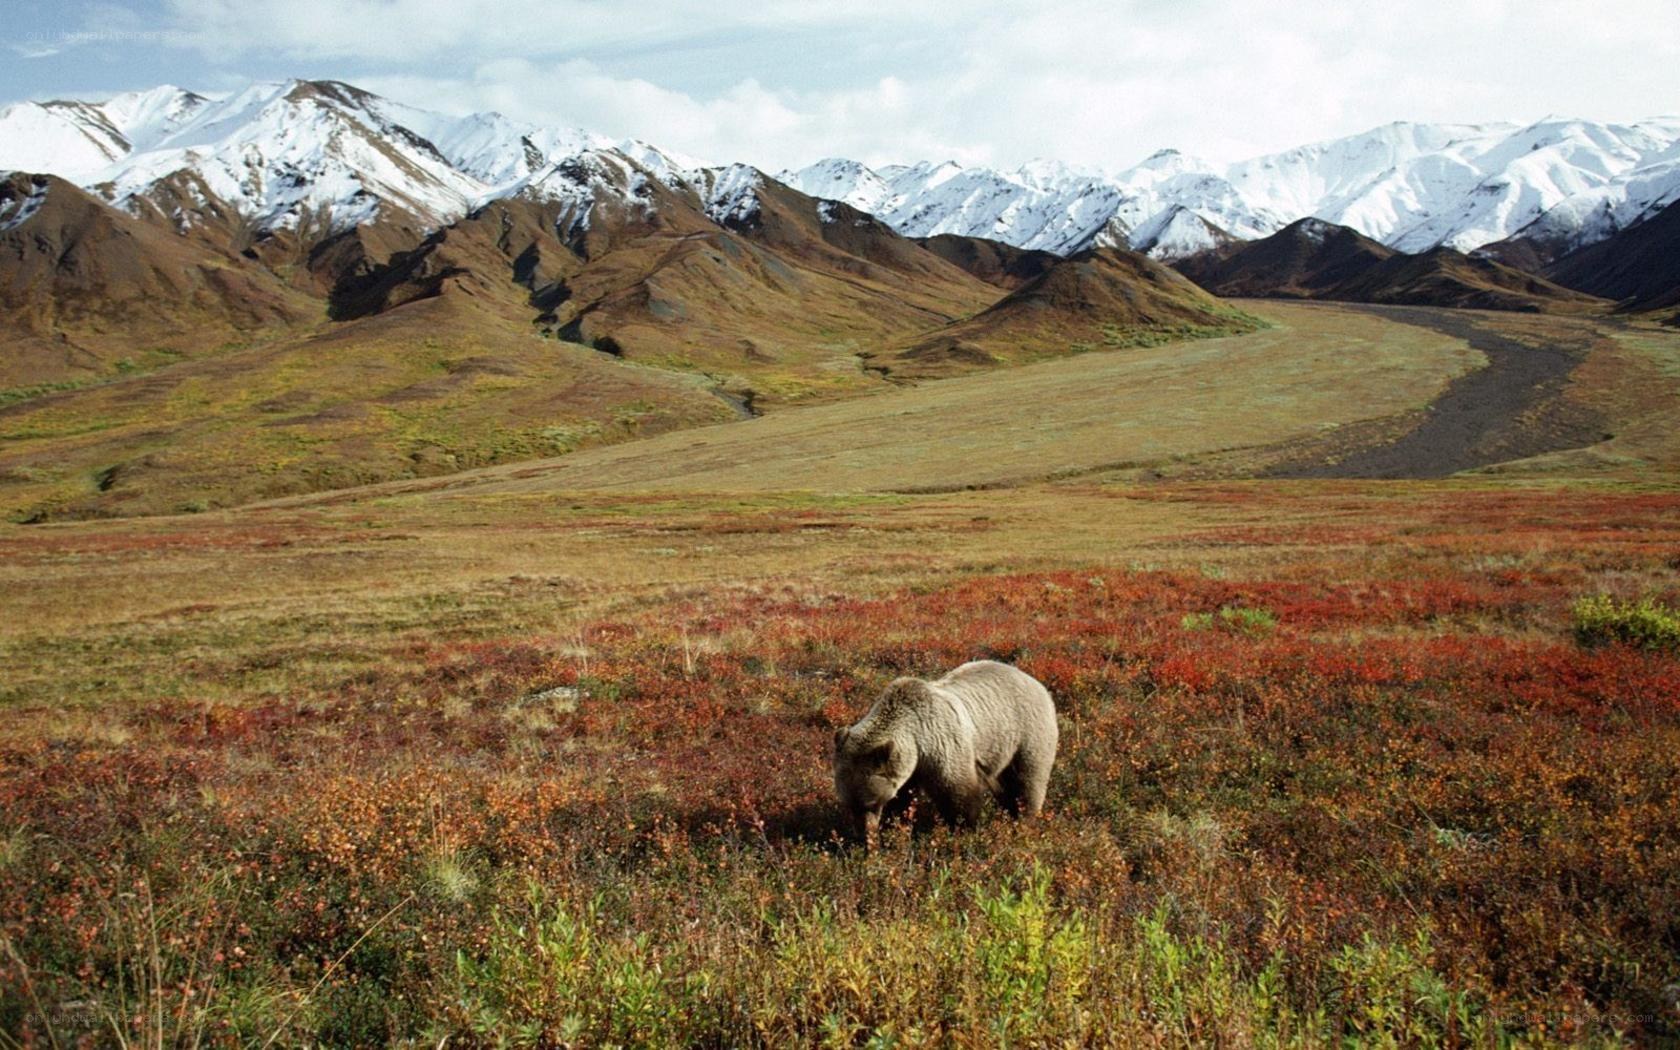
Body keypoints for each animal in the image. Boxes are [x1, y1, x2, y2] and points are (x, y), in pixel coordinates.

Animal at [832, 660, 1058, 842]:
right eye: (848, 803)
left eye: (871, 803)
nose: (863, 835)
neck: (917, 741)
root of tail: (1035, 682)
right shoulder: (909, 767)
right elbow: (902, 799)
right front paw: (895, 827)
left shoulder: (942, 744)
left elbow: (958, 793)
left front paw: (964, 830)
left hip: (1028, 733)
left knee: (1028, 780)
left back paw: (1024, 820)